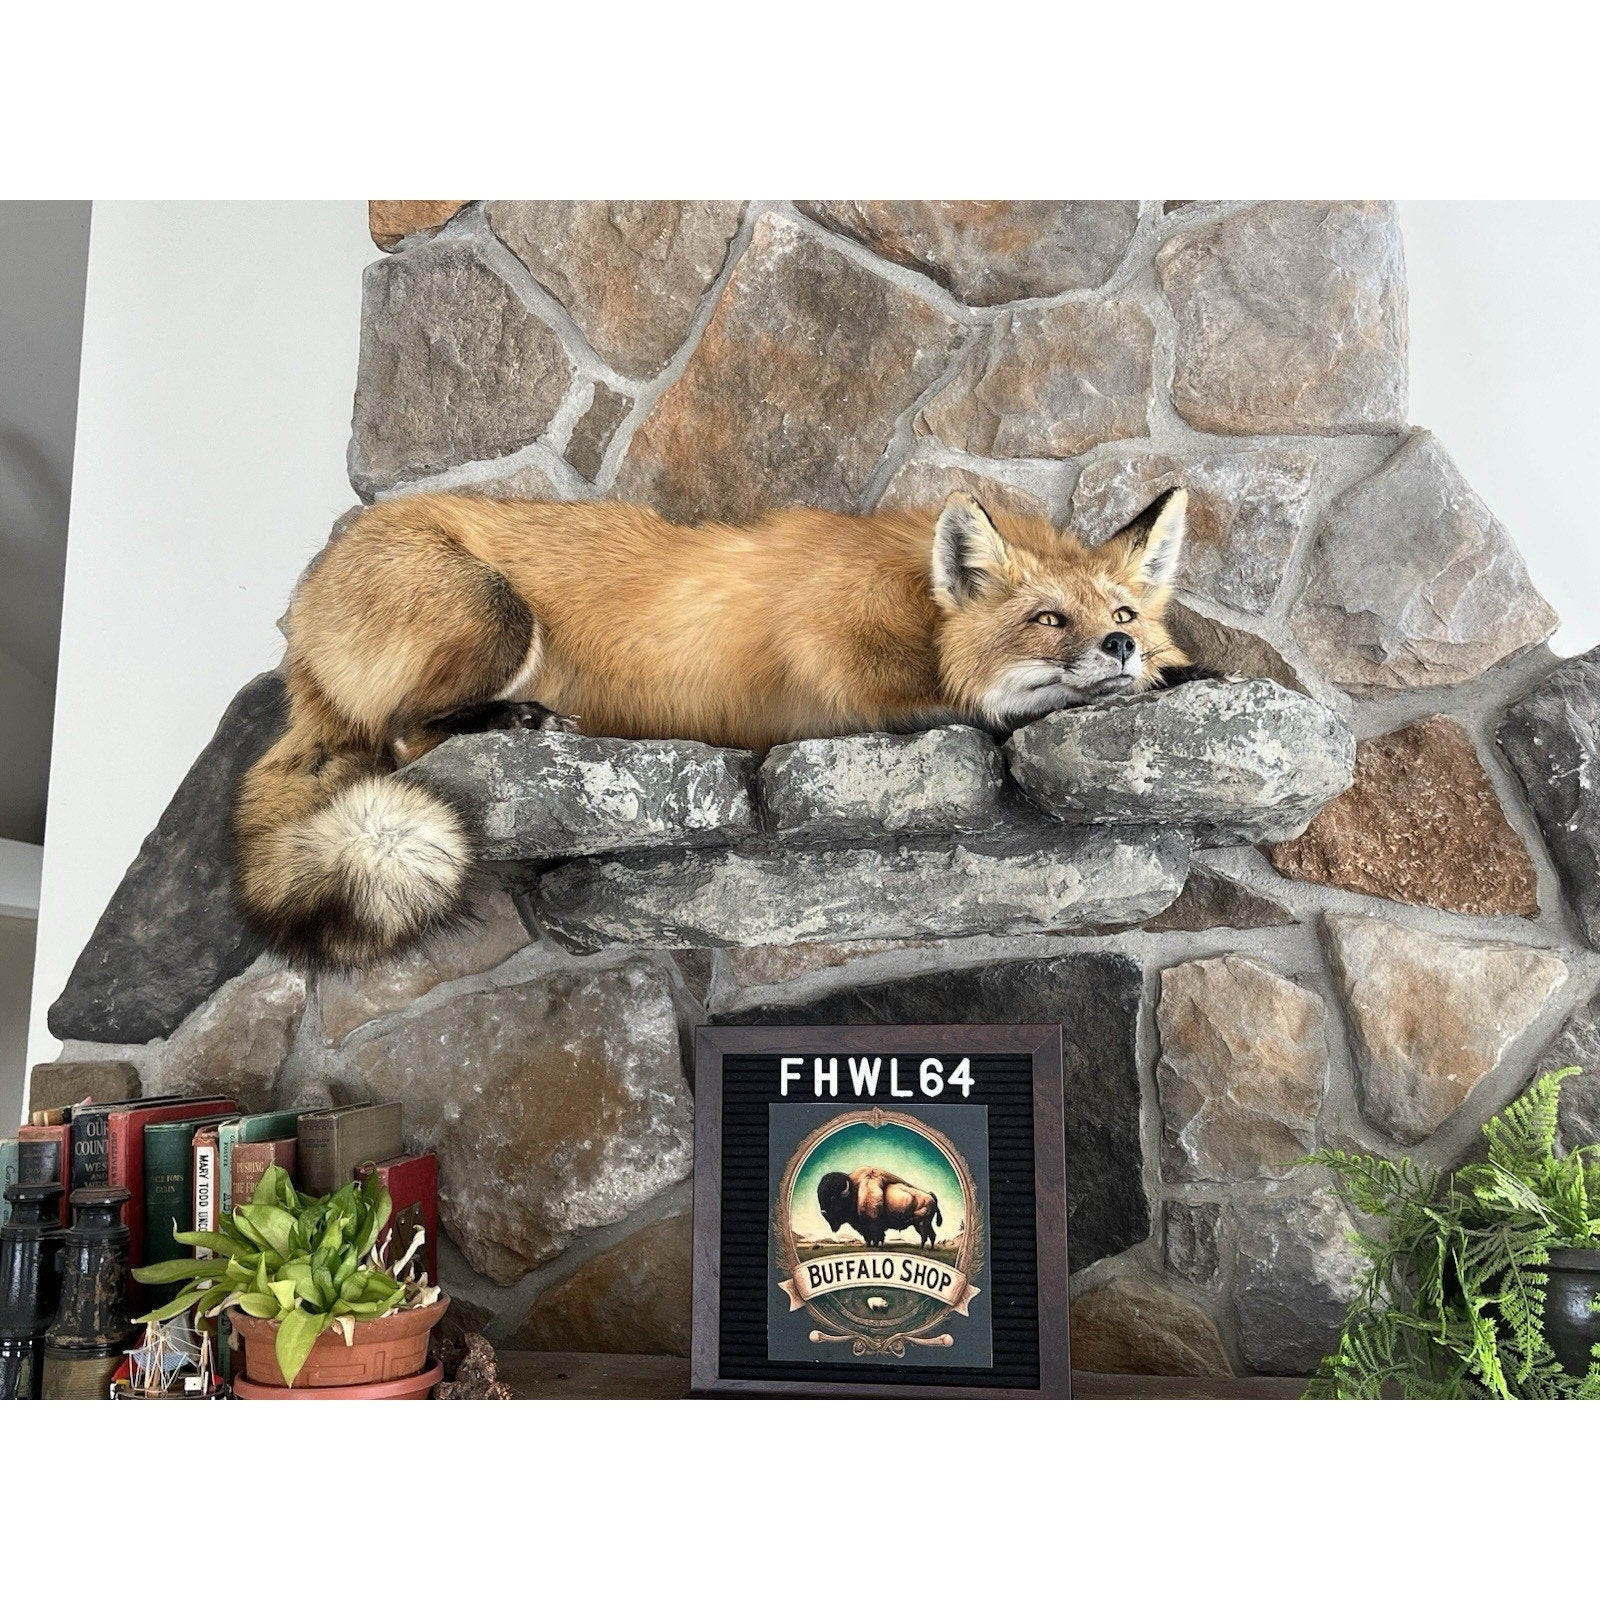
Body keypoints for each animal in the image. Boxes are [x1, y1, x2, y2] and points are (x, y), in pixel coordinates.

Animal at [234, 485, 1191, 969]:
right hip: (496, 617)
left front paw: (1178, 669)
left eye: (1121, 613)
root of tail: (298, 621)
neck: (912, 606)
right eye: (1047, 620)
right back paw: (517, 718)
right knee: (402, 734)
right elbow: (982, 708)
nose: (1120, 644)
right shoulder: (839, 681)